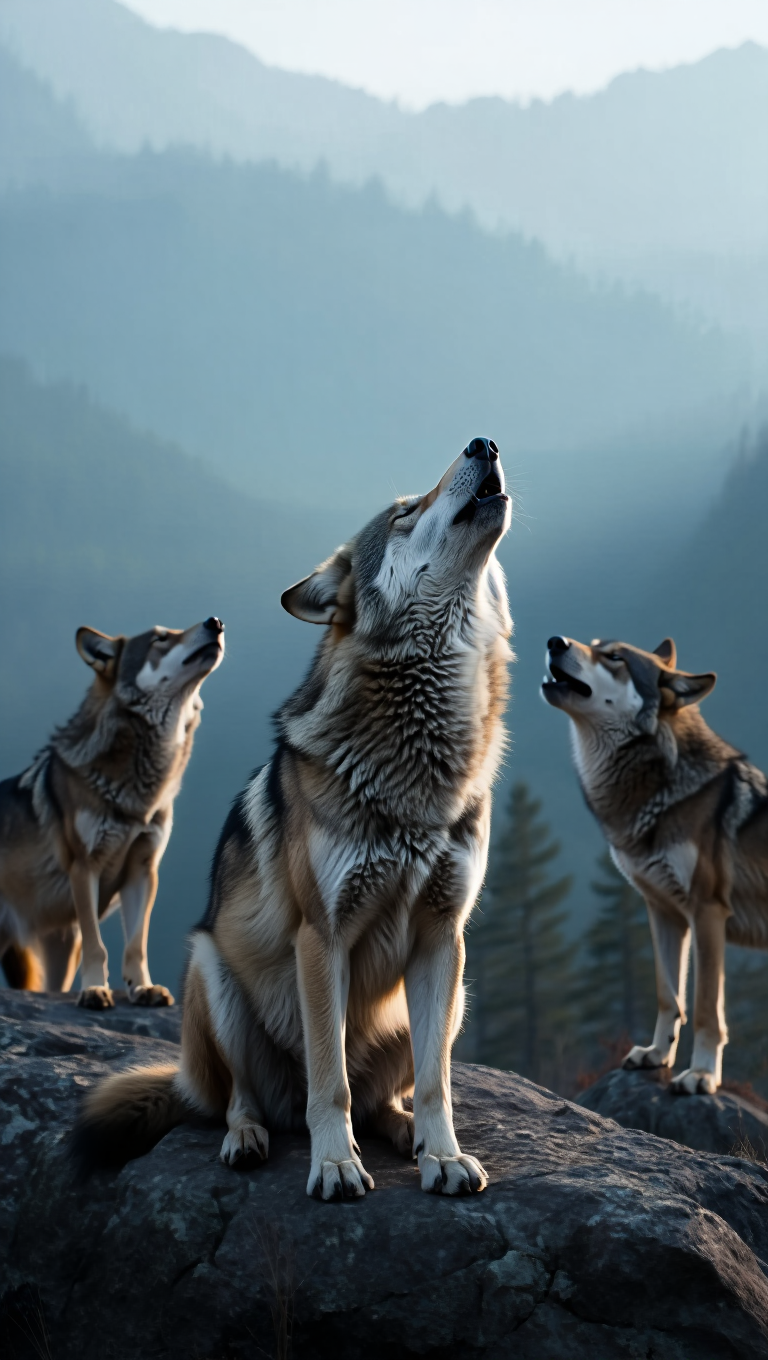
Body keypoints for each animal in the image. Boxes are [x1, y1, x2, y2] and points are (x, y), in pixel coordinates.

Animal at [0, 617, 225, 1007]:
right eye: (160, 638)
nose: (216, 622)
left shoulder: (143, 870)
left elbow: (136, 945)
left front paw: (143, 988)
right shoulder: (84, 867)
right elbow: (98, 945)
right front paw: (94, 989)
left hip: (58, 947)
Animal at [74, 438, 512, 1201]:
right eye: (405, 512)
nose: (483, 443)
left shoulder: (442, 938)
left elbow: (438, 1085)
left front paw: (444, 1155)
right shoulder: (321, 937)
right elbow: (328, 1083)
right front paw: (334, 1165)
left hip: (454, 997)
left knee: (383, 1097)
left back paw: (402, 1131)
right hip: (212, 973)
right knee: (246, 1099)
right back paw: (247, 1138)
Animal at [542, 633, 768, 1094]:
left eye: (614, 657)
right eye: (594, 643)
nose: (555, 640)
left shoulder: (707, 912)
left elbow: (705, 1008)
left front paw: (701, 1074)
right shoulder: (664, 911)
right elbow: (669, 996)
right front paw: (657, 1055)